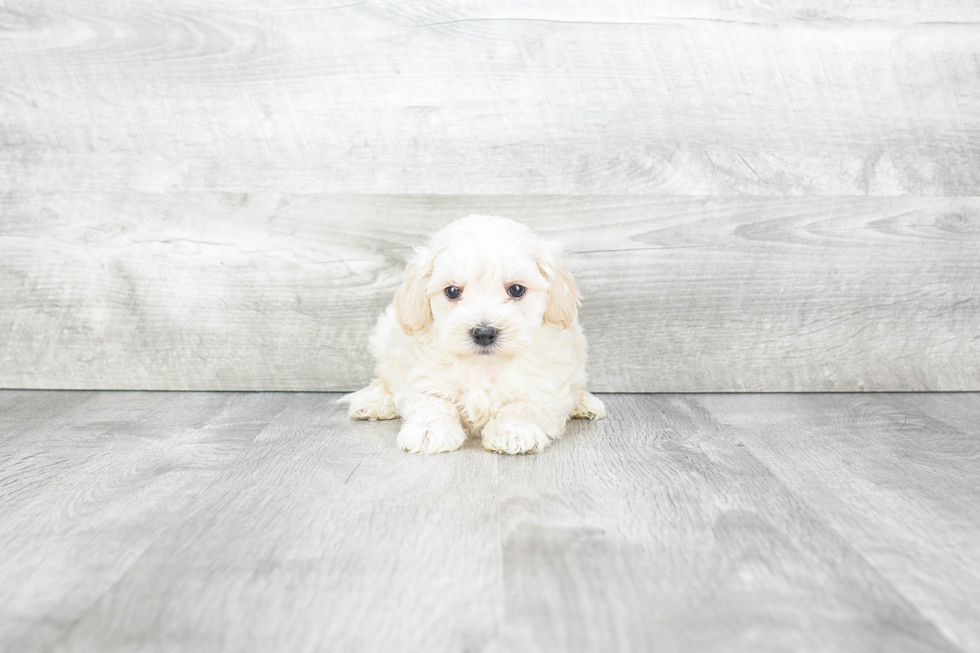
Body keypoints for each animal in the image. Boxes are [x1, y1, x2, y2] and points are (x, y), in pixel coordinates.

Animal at [342, 214, 604, 454]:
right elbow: (430, 401)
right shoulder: (423, 377)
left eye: (517, 289)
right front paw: (429, 430)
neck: (483, 365)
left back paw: (585, 403)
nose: (484, 333)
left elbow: (525, 406)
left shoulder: (544, 384)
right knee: (385, 378)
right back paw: (374, 401)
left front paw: (513, 430)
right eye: (452, 291)